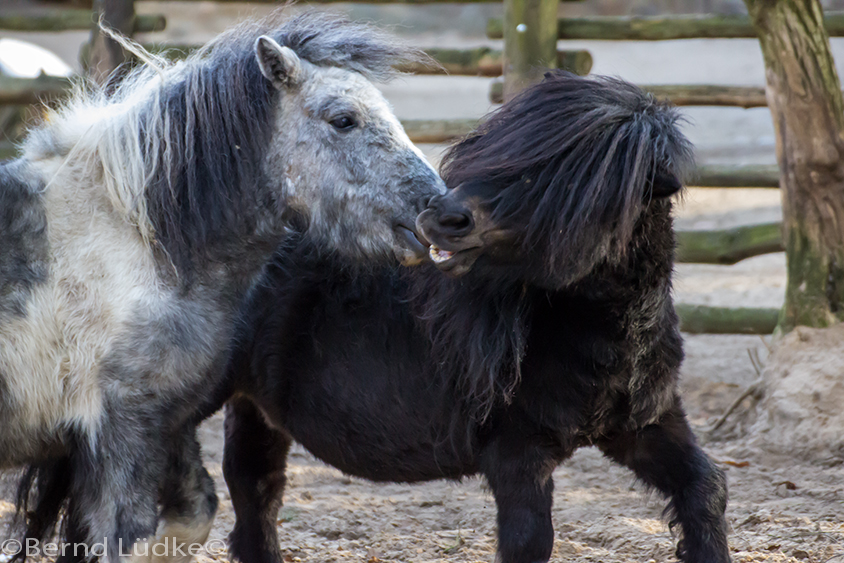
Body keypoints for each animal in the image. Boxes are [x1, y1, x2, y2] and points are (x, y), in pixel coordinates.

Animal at [221, 72, 728, 563]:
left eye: (567, 179)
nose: (442, 217)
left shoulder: (646, 426)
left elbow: (706, 488)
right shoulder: (518, 454)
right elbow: (529, 541)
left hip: (254, 408)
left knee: (254, 489)